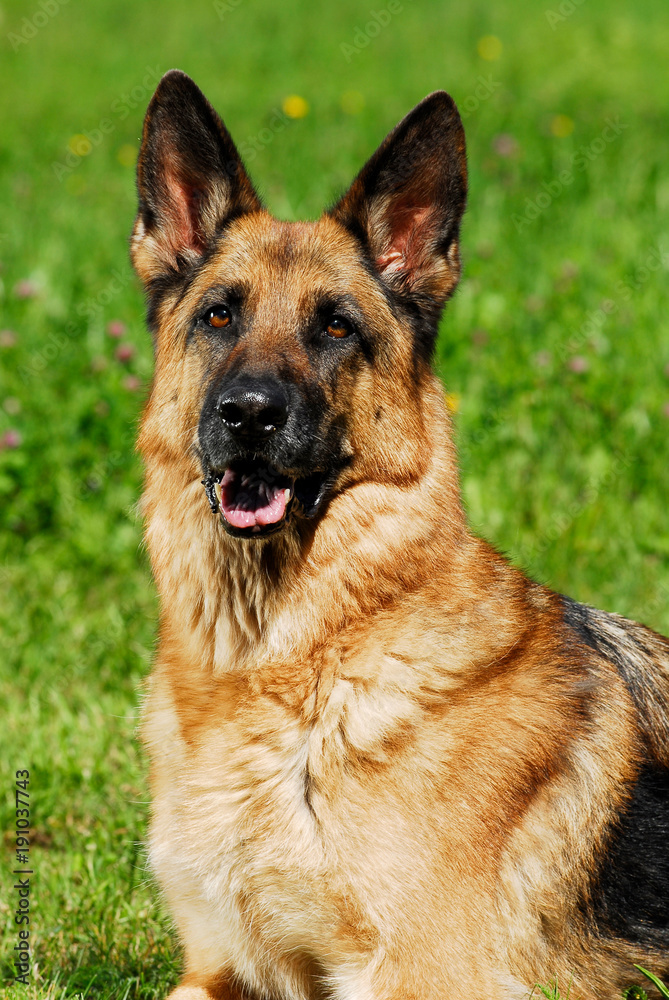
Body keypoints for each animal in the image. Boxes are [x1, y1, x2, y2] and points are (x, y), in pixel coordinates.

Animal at [130, 72, 668, 1000]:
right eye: (219, 317)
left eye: (335, 327)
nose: (248, 415)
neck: (283, 662)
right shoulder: (218, 969)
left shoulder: (420, 974)